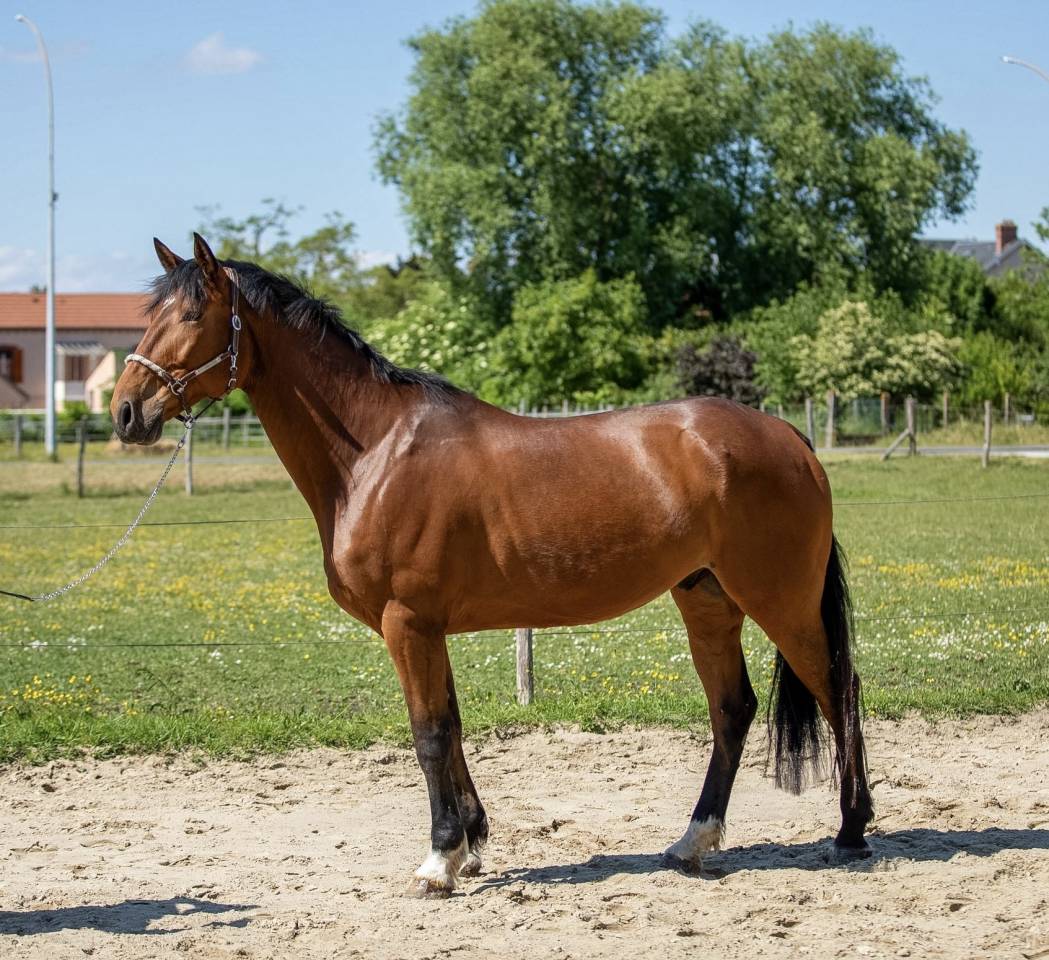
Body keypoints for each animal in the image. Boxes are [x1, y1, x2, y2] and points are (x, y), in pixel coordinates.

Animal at [111, 234, 873, 897]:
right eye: (150, 317)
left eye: (190, 316)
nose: (124, 412)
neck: (375, 452)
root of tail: (789, 437)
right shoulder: (427, 629)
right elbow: (450, 726)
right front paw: (472, 844)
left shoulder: (407, 623)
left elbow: (428, 735)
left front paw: (438, 860)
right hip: (707, 598)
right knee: (732, 708)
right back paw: (694, 841)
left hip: (780, 600)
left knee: (837, 688)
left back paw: (851, 830)